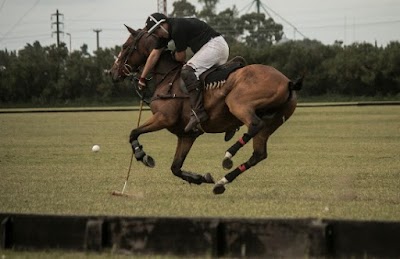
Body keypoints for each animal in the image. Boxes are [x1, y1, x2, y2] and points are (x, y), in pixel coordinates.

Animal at [108, 25, 302, 195]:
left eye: (125, 46)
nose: (112, 73)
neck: (167, 77)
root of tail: (288, 82)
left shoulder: (164, 118)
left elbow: (134, 132)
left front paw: (142, 155)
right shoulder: (187, 134)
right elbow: (175, 167)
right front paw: (201, 178)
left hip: (237, 103)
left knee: (255, 125)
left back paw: (228, 156)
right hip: (273, 121)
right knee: (259, 154)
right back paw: (221, 183)